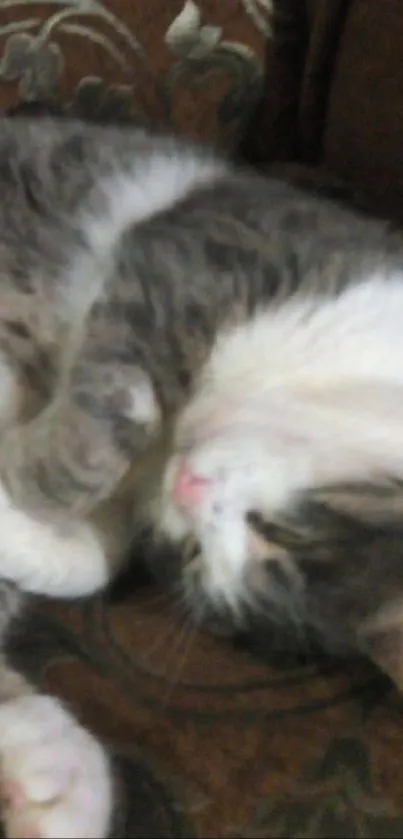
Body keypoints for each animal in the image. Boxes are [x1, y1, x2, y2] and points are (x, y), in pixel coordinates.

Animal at [0, 118, 403, 839]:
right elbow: (107, 423)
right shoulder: (203, 244)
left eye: (188, 556)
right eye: (283, 532)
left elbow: (91, 558)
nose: (186, 487)